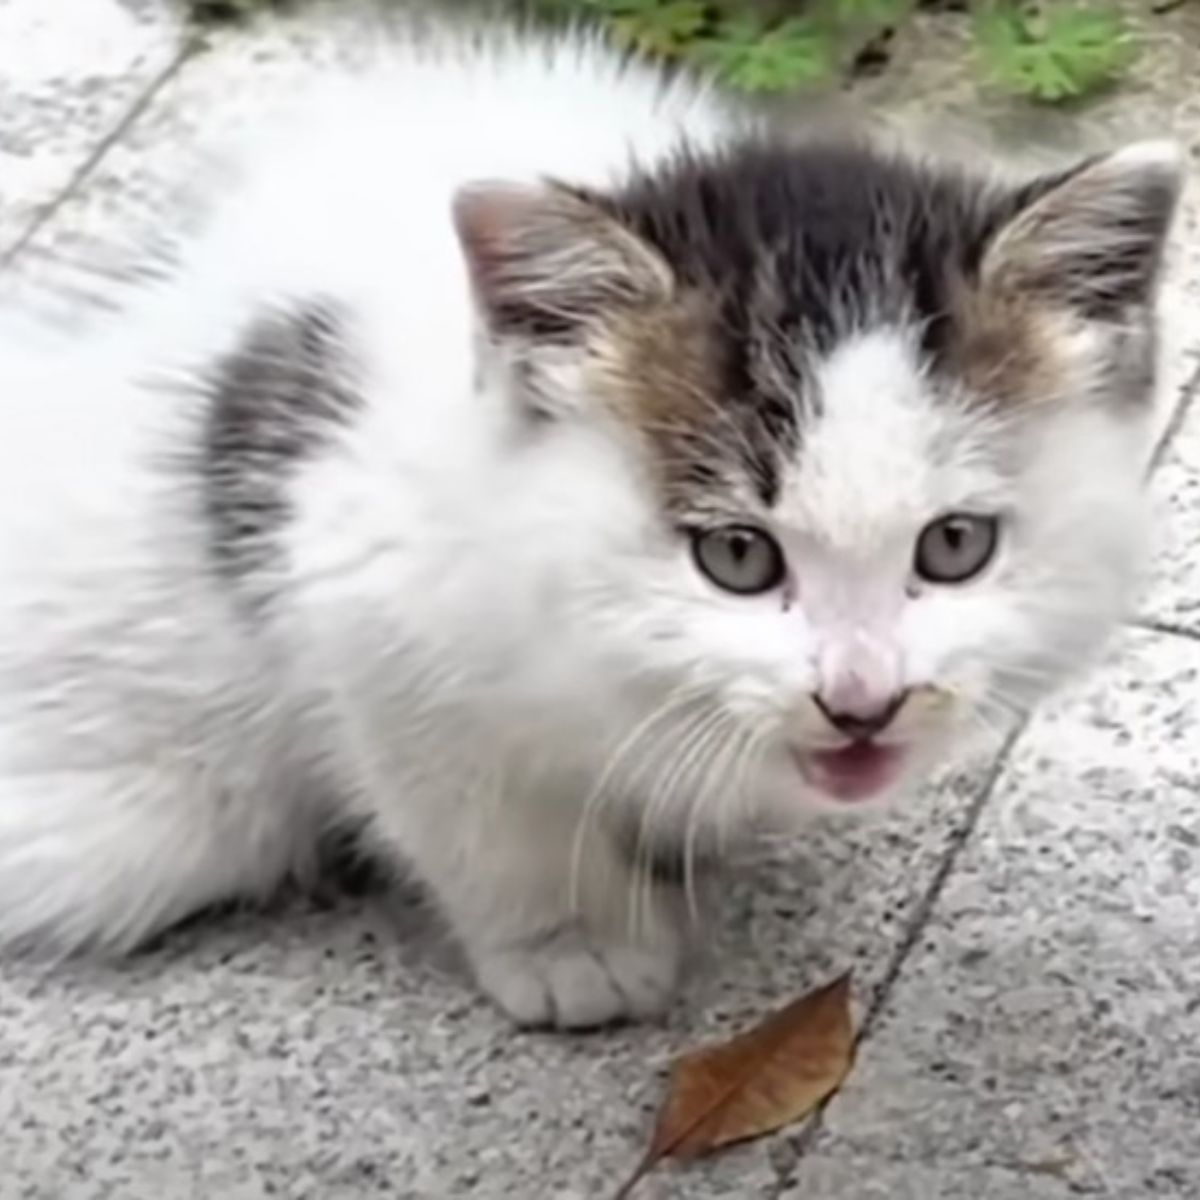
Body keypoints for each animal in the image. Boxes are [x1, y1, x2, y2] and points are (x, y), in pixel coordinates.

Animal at [0, 23, 1180, 1027]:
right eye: (736, 556)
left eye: (954, 545)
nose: (861, 702)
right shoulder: (353, 589)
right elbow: (469, 803)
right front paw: (575, 945)